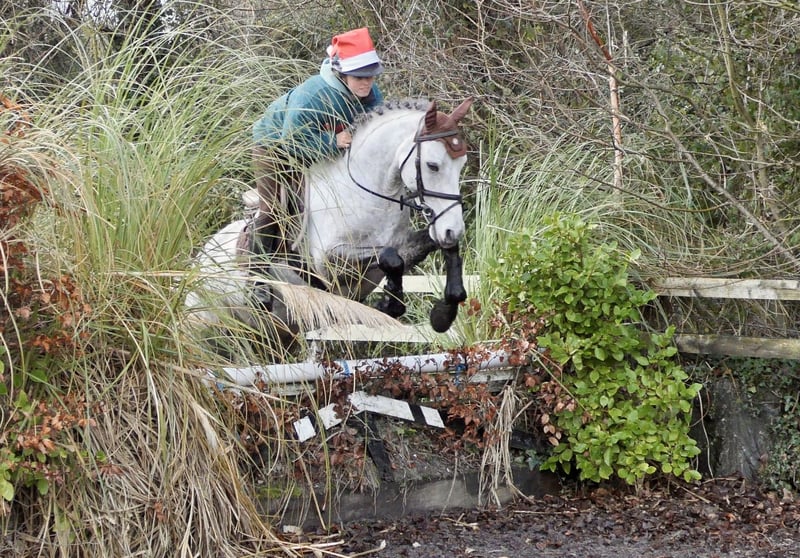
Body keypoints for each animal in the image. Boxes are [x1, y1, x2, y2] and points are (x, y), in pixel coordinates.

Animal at [185, 97, 473, 352]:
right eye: (433, 165)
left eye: (462, 164)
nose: (453, 228)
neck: (364, 194)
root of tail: (199, 260)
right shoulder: (328, 263)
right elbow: (390, 257)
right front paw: (390, 304)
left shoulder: (404, 246)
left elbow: (423, 251)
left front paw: (442, 313)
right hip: (207, 330)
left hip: (274, 336)